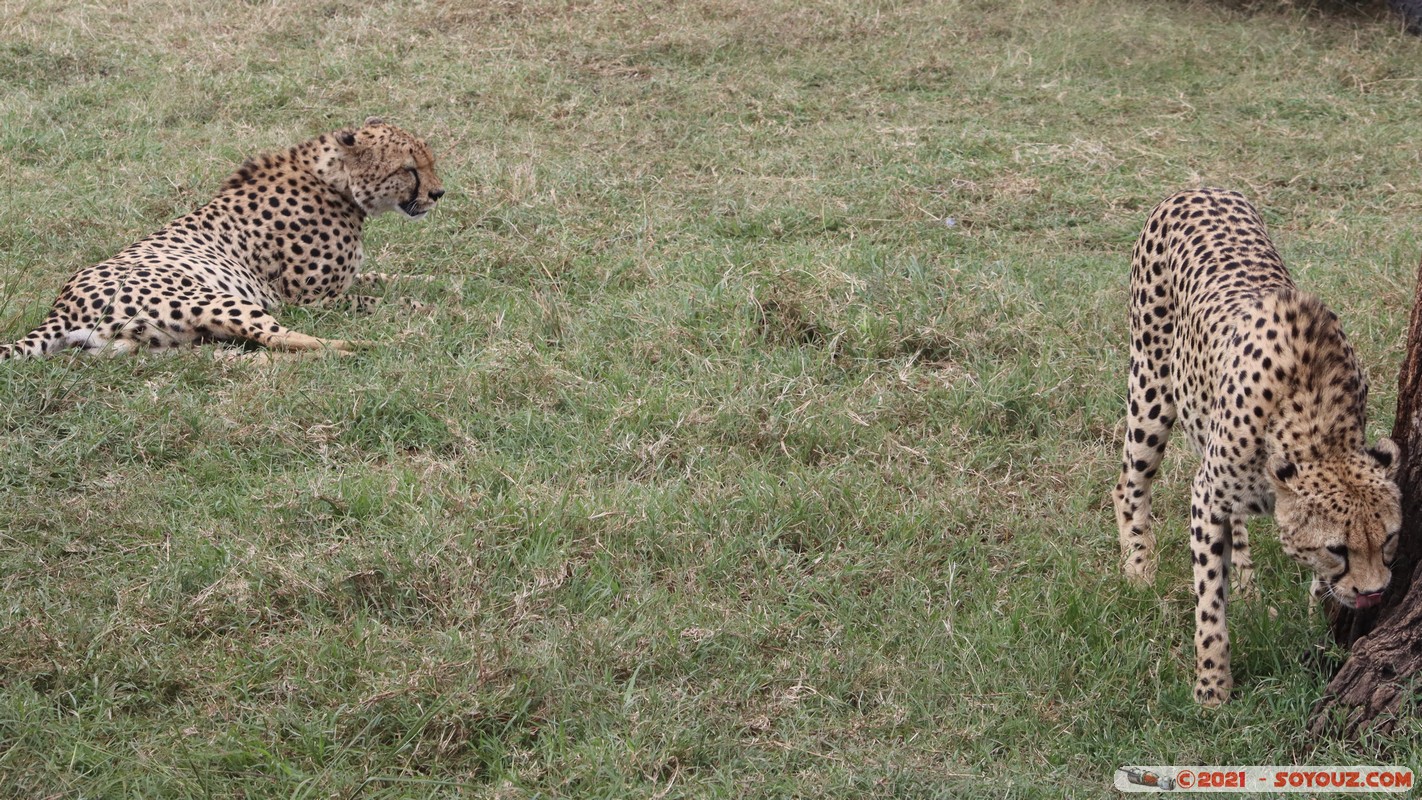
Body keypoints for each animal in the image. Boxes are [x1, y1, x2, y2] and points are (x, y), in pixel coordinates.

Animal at [0, 117, 444, 360]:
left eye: (429, 161)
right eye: (409, 168)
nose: (438, 193)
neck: (334, 181)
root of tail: (60, 308)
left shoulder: (343, 283)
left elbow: (390, 280)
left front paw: (445, 285)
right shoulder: (310, 301)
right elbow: (378, 300)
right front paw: (433, 310)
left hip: (165, 346)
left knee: (255, 353)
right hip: (217, 299)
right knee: (282, 337)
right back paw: (366, 346)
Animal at [1112, 187, 1401, 706]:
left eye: (1388, 538)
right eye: (1338, 548)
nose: (1373, 594)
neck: (1317, 425)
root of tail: (1196, 187)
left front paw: (1312, 619)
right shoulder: (1205, 496)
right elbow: (1209, 605)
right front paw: (1212, 688)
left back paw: (1246, 585)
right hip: (1150, 386)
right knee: (1128, 484)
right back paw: (1139, 572)